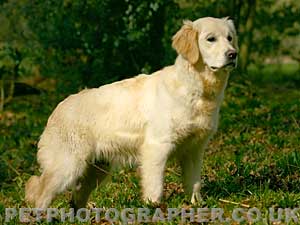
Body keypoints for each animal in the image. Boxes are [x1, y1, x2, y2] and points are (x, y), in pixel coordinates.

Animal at [25, 17, 237, 209]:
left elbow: (194, 183)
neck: (196, 87)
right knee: (41, 194)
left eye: (230, 38)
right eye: (210, 39)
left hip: (96, 170)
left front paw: (197, 205)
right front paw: (154, 208)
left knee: (76, 197)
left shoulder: (194, 150)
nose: (233, 54)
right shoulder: (157, 147)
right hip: (67, 166)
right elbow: (155, 186)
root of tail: (56, 110)